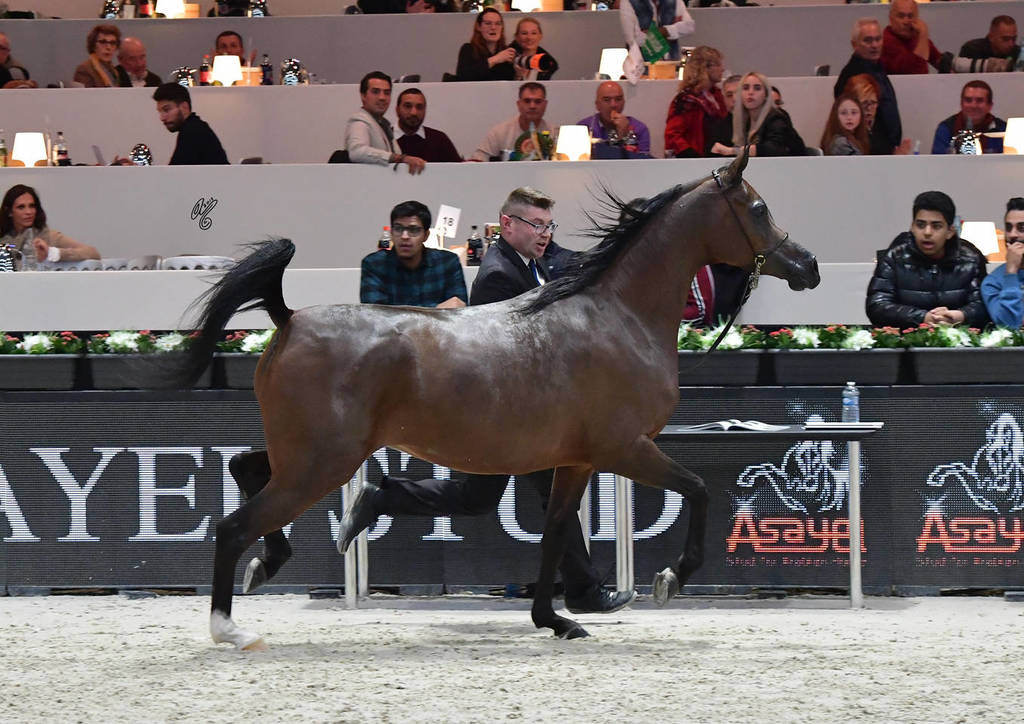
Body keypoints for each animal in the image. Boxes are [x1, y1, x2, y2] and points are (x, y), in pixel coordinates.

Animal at [174, 151, 820, 650]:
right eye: (758, 209)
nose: (808, 265)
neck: (617, 315)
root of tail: (288, 318)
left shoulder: (576, 461)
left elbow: (557, 534)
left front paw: (558, 618)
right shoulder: (626, 449)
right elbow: (700, 490)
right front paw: (669, 578)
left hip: (309, 454)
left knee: (245, 467)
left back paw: (274, 559)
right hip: (320, 462)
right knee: (233, 525)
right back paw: (232, 627)